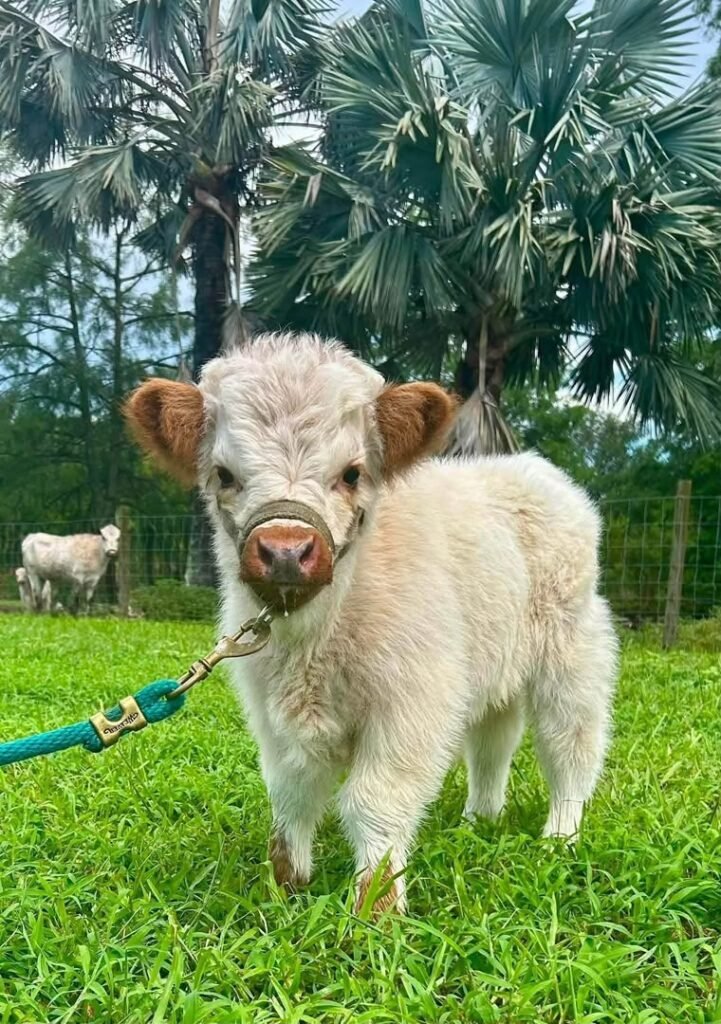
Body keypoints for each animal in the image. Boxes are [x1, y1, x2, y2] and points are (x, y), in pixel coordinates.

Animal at [125, 332, 618, 916]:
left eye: (352, 473)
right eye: (224, 475)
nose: (286, 552)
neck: (314, 642)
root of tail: (529, 469)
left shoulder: (413, 705)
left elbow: (374, 800)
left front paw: (377, 905)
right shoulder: (269, 709)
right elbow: (290, 789)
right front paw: (287, 884)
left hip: (573, 653)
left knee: (571, 744)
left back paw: (560, 837)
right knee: (492, 740)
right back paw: (480, 820)